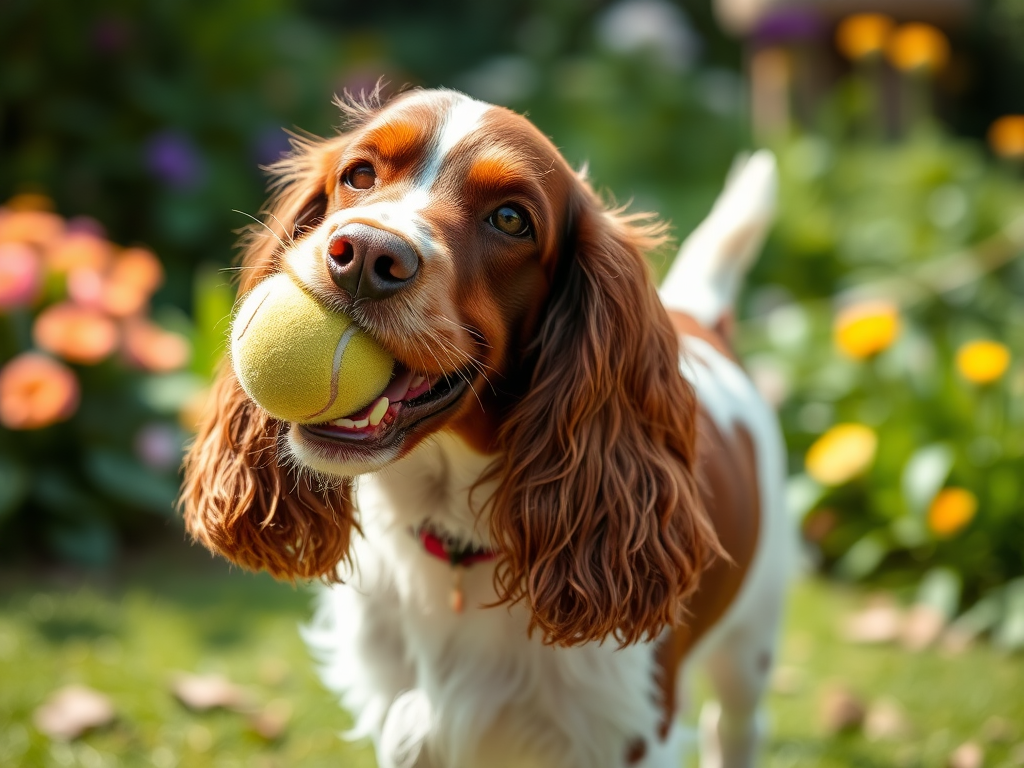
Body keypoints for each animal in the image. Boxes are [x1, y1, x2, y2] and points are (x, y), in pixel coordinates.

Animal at [182, 90, 790, 768]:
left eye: (510, 219)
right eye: (359, 174)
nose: (365, 254)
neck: (457, 540)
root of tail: (699, 319)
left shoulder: (625, 734)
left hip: (751, 642)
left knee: (734, 726)